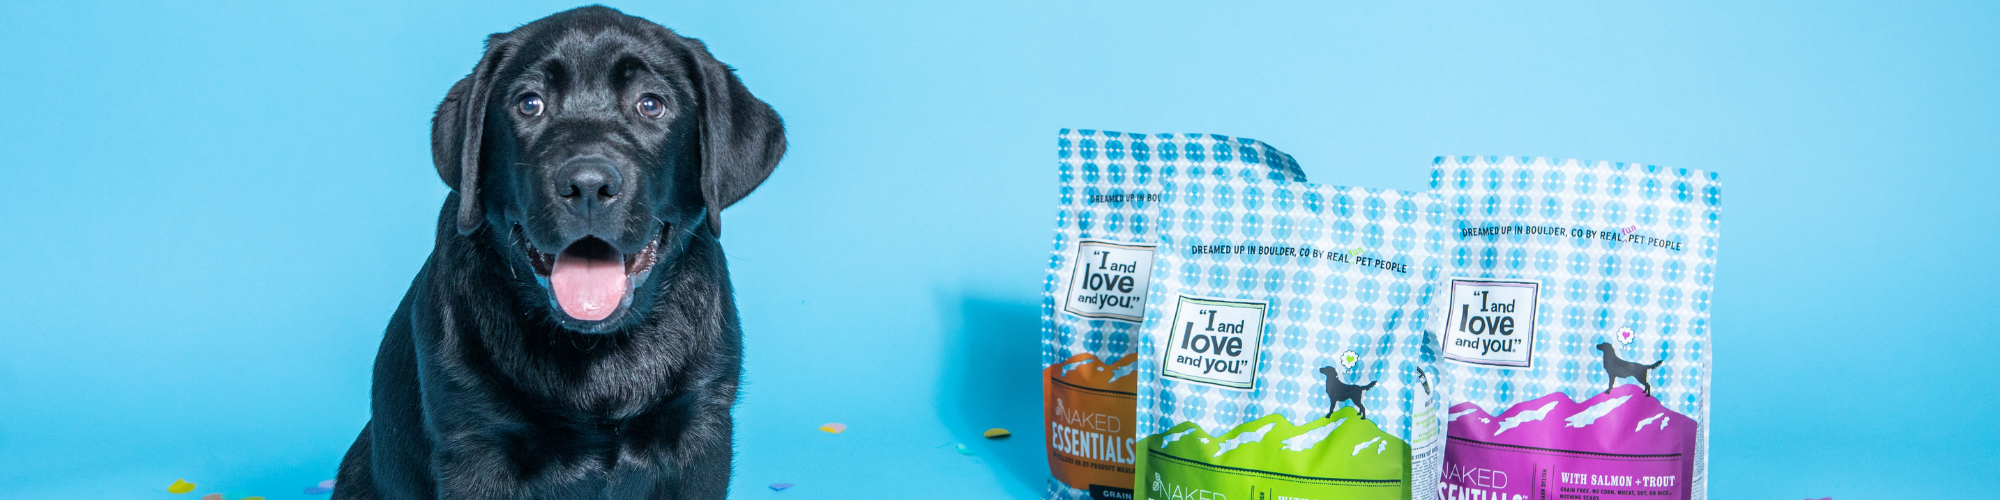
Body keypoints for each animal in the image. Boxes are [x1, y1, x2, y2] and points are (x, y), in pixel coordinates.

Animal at [336, 5, 780, 498]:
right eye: (530, 103)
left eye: (651, 104)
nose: (587, 185)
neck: (598, 349)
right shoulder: (475, 448)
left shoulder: (702, 430)